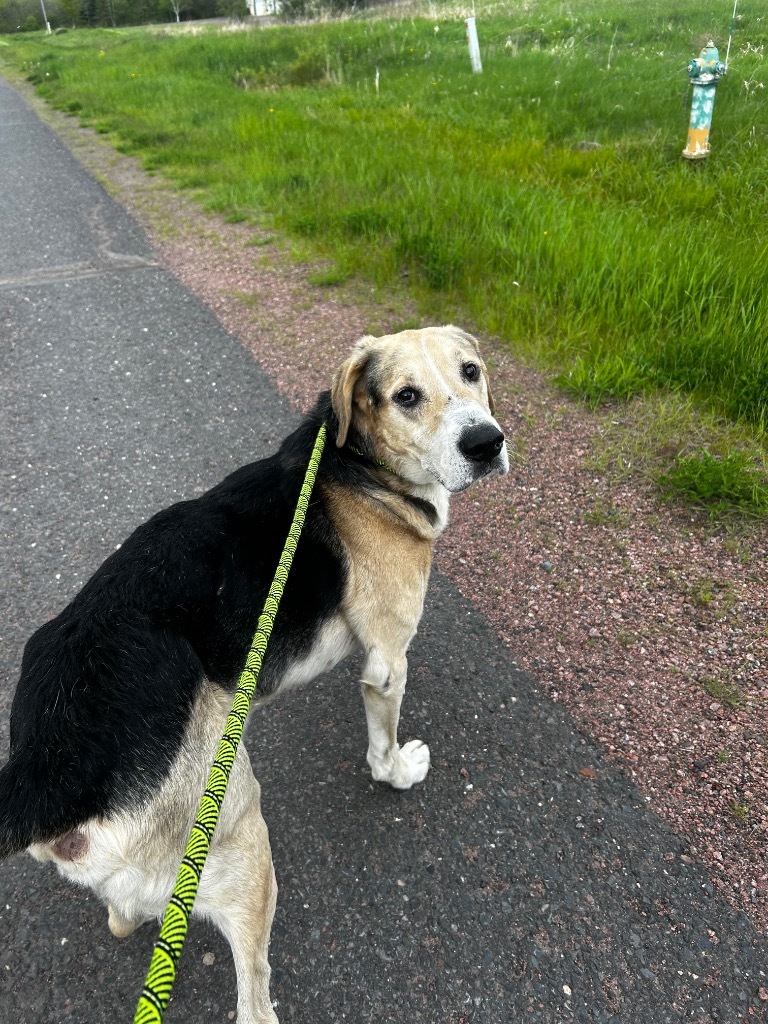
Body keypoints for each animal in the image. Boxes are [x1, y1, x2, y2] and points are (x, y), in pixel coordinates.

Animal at [0, 325, 512, 1024]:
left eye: (471, 371)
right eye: (406, 396)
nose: (486, 443)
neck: (358, 465)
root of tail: (48, 765)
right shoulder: (387, 661)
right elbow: (382, 748)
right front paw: (400, 773)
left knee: (121, 917)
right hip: (241, 844)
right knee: (253, 999)